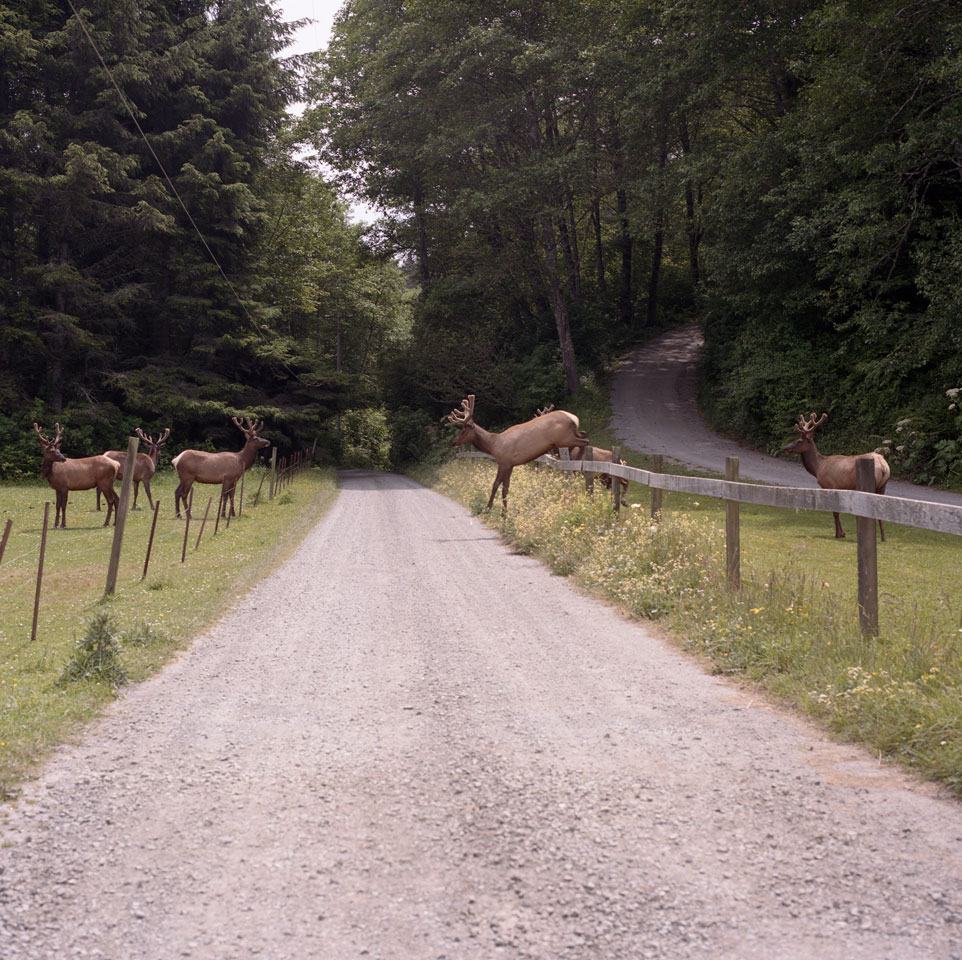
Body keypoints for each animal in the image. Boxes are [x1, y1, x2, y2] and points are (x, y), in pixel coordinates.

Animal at [448, 394, 588, 512]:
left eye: (464, 431)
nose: (453, 442)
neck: (493, 445)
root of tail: (574, 418)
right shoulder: (510, 465)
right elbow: (505, 488)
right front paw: (504, 513)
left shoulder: (504, 462)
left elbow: (495, 484)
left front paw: (488, 508)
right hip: (567, 438)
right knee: (584, 434)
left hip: (564, 438)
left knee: (585, 441)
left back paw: (579, 463)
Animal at [776, 412, 888, 540]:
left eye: (799, 440)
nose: (785, 447)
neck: (818, 468)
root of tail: (883, 466)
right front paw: (842, 533)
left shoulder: (830, 485)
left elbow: (835, 511)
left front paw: (839, 534)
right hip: (883, 486)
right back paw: (883, 537)